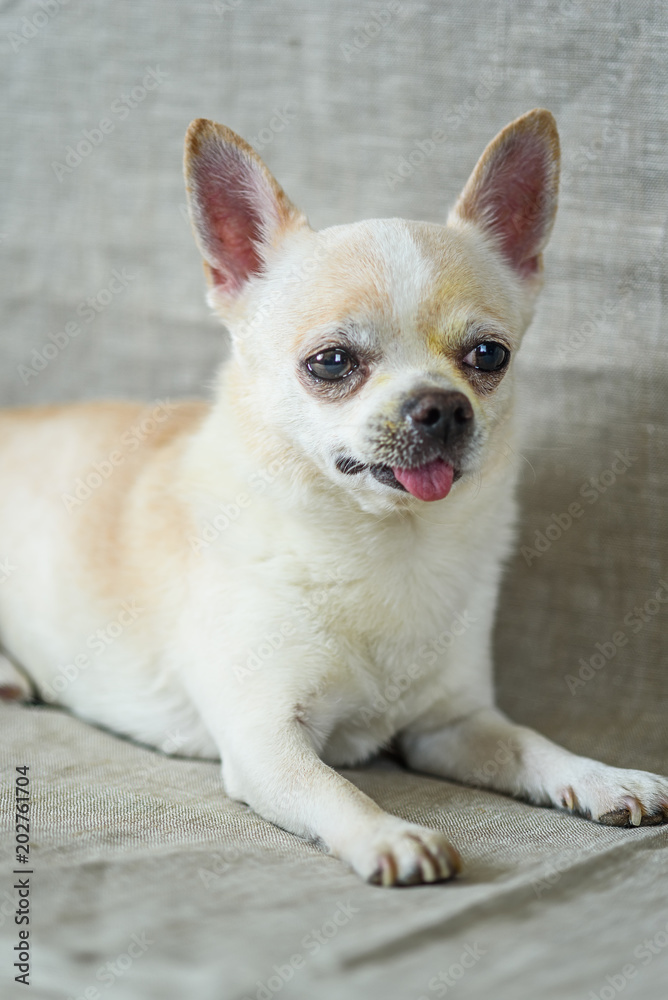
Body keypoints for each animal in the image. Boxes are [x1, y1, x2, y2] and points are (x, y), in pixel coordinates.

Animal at [1, 109, 668, 884]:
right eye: (331, 363)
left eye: (489, 356)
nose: (442, 406)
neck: (387, 545)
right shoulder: (267, 744)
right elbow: (335, 787)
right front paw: (390, 834)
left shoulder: (453, 726)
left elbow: (531, 743)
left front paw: (601, 776)